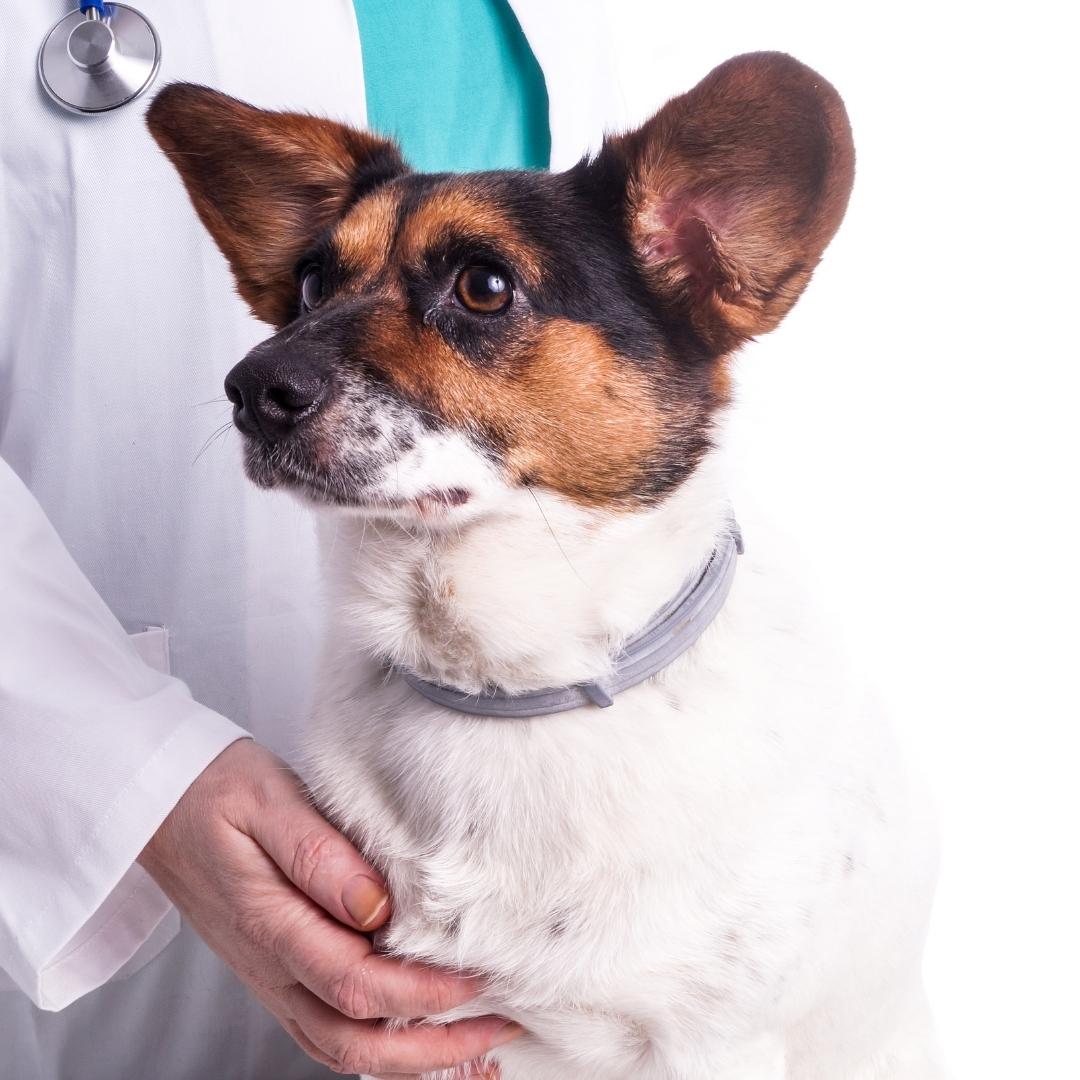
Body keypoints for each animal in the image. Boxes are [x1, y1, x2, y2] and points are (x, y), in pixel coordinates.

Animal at [147, 52, 941, 1080]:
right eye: (314, 282)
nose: (251, 389)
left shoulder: (712, 1047)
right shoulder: (408, 1035)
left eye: (484, 285)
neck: (511, 686)